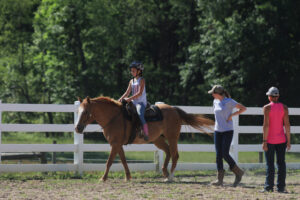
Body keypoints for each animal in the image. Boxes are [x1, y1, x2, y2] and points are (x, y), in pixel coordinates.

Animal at [76, 96, 214, 182]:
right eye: (78, 111)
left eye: (86, 112)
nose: (77, 128)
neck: (114, 117)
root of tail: (174, 109)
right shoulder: (118, 144)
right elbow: (123, 160)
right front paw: (128, 177)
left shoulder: (115, 144)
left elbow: (109, 161)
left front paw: (103, 178)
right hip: (158, 140)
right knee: (168, 152)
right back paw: (165, 173)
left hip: (172, 137)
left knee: (175, 155)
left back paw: (170, 176)